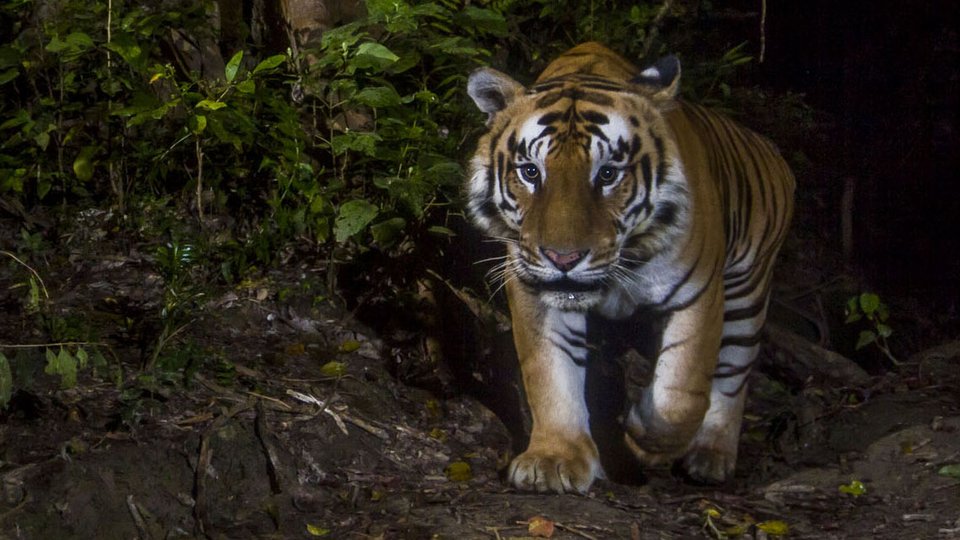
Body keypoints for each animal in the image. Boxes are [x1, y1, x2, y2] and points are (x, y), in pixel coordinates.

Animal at [464, 42, 795, 493]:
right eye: (531, 172)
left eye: (607, 174)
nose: (562, 259)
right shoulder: (535, 288)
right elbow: (550, 371)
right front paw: (554, 460)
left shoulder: (699, 295)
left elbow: (681, 394)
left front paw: (643, 436)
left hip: (747, 293)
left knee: (733, 375)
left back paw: (710, 456)